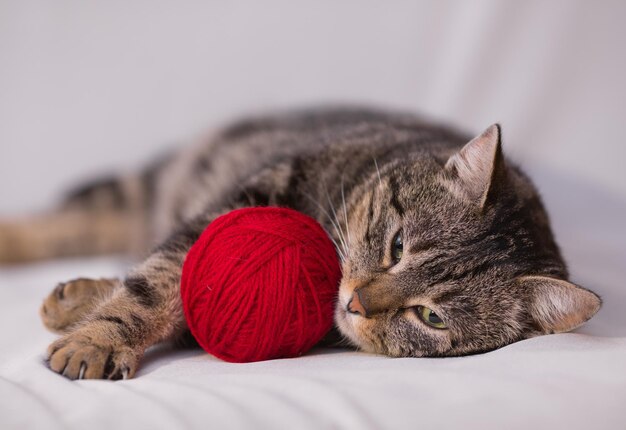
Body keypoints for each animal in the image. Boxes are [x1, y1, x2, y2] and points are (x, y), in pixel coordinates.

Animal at [0, 107, 600, 380]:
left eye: (431, 317)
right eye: (397, 245)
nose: (355, 302)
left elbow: (162, 286)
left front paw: (84, 310)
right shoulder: (244, 199)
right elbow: (158, 281)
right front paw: (96, 338)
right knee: (73, 220)